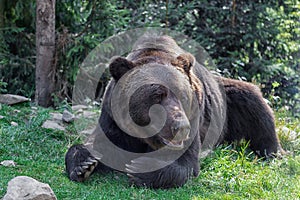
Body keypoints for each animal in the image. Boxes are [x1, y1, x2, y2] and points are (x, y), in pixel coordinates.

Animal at [65, 34, 284, 189]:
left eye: (183, 95)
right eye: (157, 95)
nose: (181, 126)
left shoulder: (195, 120)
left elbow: (184, 164)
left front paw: (139, 168)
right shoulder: (113, 119)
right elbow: (99, 145)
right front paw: (84, 165)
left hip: (228, 104)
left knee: (254, 103)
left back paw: (274, 153)